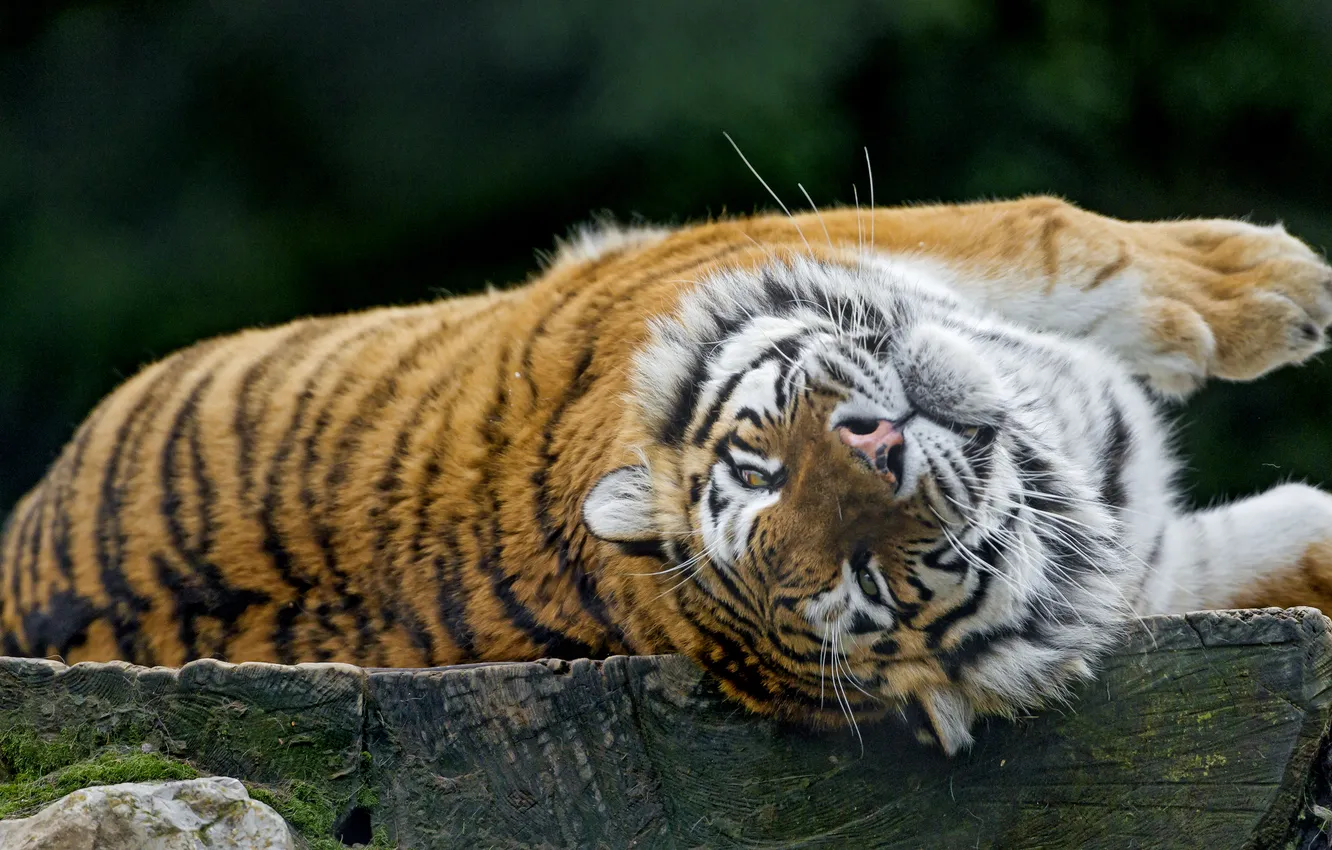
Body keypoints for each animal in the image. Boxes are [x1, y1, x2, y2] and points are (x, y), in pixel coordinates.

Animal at [3, 197, 1332, 753]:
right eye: (863, 579)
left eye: (755, 460)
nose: (886, 444)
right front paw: (1290, 285)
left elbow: (1056, 235)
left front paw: (1274, 284)